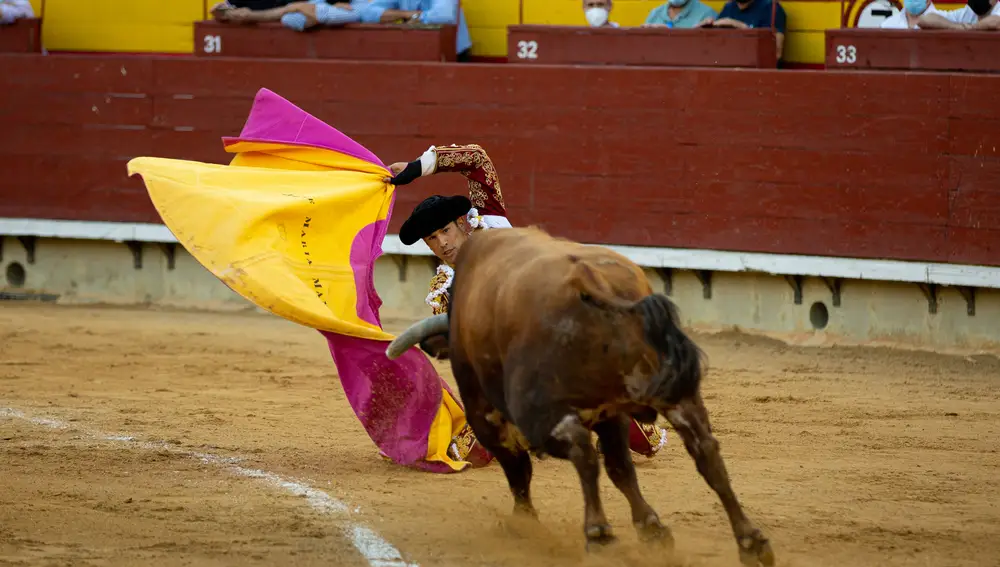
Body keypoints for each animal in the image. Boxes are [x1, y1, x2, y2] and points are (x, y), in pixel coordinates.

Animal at [384, 229, 772, 564]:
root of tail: (591, 280)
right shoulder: (612, 414)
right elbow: (620, 469)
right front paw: (652, 529)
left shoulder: (489, 418)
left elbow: (519, 471)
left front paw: (524, 523)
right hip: (677, 396)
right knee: (706, 452)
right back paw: (751, 542)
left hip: (540, 413)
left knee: (583, 454)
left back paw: (598, 534)